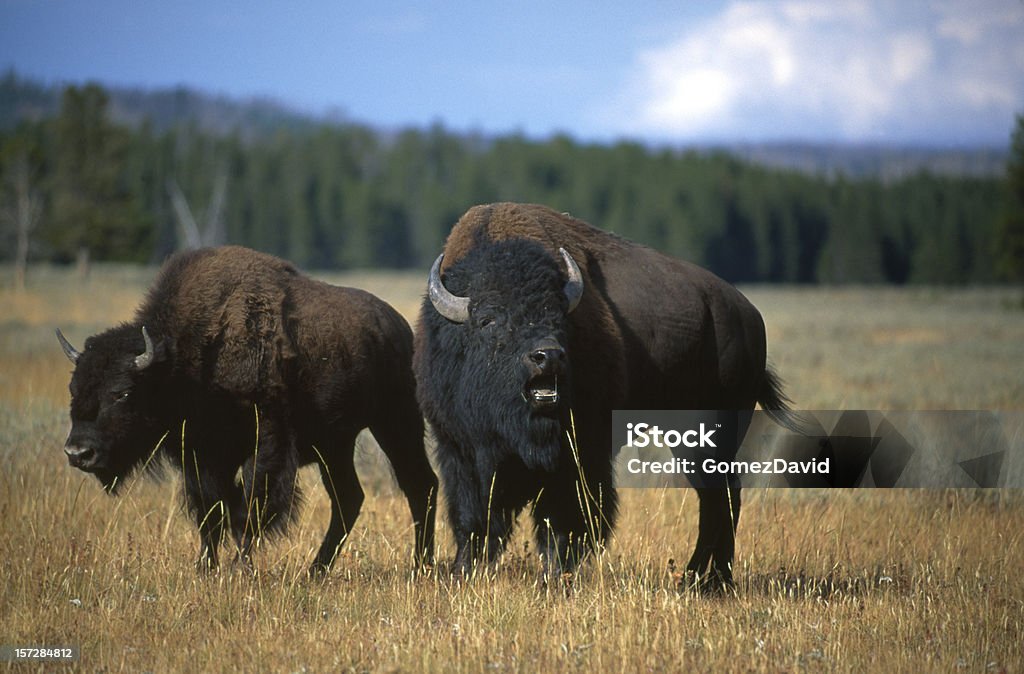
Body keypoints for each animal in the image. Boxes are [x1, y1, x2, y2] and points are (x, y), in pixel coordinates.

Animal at [57, 246, 436, 573]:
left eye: (122, 392)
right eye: (73, 389)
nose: (78, 453)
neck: (184, 361)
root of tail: (400, 328)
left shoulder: (265, 444)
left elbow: (249, 507)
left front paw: (239, 567)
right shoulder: (201, 456)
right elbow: (211, 512)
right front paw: (206, 568)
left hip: (396, 423)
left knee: (420, 484)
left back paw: (421, 567)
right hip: (335, 445)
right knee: (348, 497)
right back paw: (316, 571)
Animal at [415, 200, 798, 590]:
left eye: (557, 315)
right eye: (488, 320)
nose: (548, 355)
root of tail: (748, 315)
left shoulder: (581, 454)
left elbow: (565, 519)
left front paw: (556, 576)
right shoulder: (459, 449)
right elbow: (471, 517)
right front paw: (463, 571)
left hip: (711, 432)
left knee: (721, 494)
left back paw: (708, 579)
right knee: (718, 493)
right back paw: (703, 578)